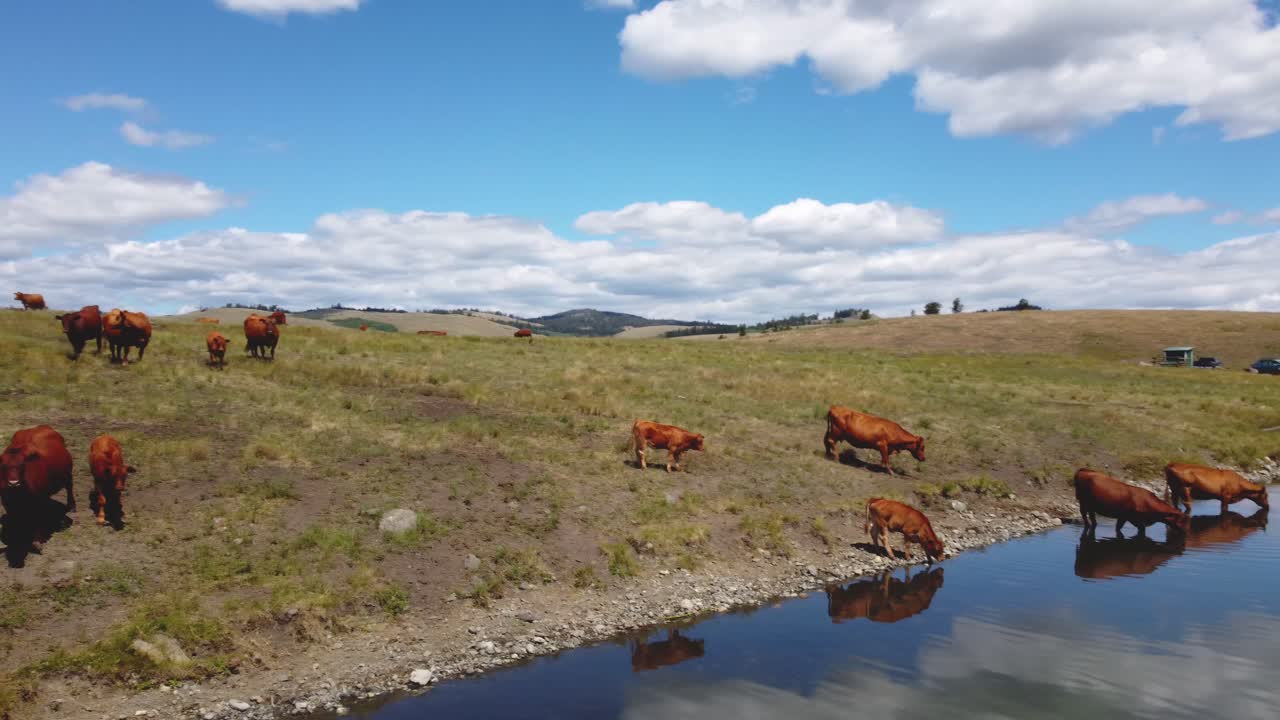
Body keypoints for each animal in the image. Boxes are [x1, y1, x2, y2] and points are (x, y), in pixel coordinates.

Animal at [1, 425, 74, 564]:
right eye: (4, 466)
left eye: (22, 465)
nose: (14, 483)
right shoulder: (8, 505)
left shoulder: (40, 502)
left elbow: (39, 521)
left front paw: (36, 543)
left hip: (68, 474)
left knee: (69, 487)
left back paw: (71, 507)